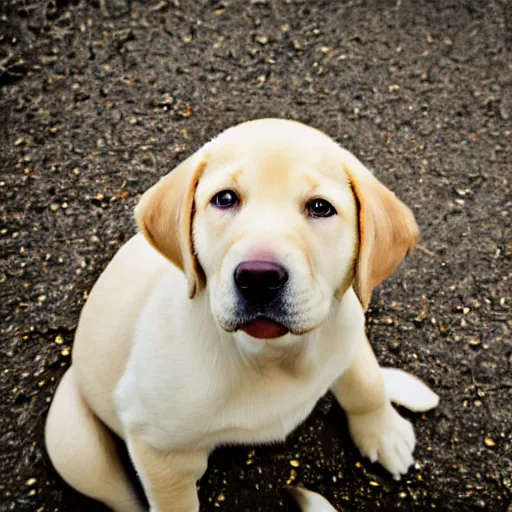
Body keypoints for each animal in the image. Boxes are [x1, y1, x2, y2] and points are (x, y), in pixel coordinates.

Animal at [44, 118, 438, 510]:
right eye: (225, 199)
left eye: (321, 207)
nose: (259, 278)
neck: (271, 355)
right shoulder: (157, 449)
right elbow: (175, 502)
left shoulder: (346, 324)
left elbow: (366, 384)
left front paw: (384, 432)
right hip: (72, 443)